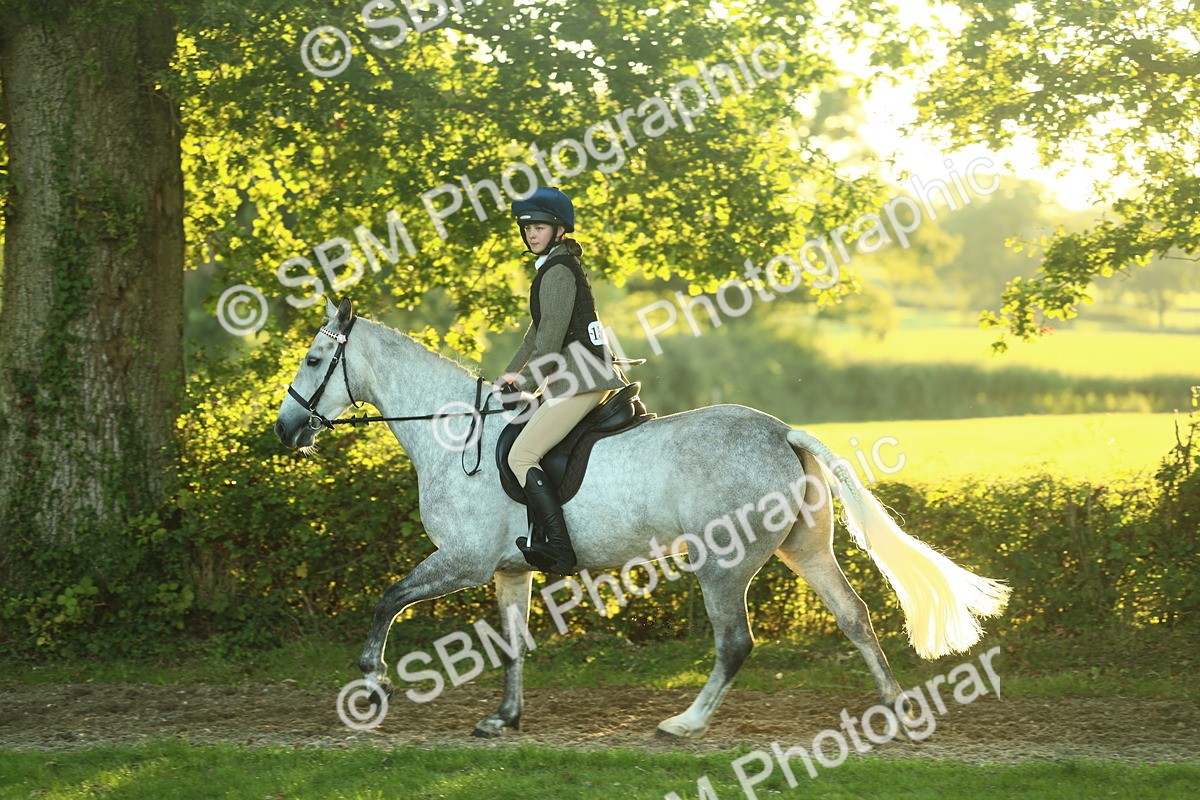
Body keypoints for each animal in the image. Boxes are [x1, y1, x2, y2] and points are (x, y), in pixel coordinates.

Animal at [274, 297, 1010, 740]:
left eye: (313, 359)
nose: (286, 430)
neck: (456, 434)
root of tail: (781, 432)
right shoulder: (509, 569)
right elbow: (511, 643)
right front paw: (504, 719)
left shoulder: (463, 560)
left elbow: (387, 598)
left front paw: (370, 684)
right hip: (805, 549)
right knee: (855, 616)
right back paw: (898, 710)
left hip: (723, 564)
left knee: (735, 642)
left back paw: (684, 723)